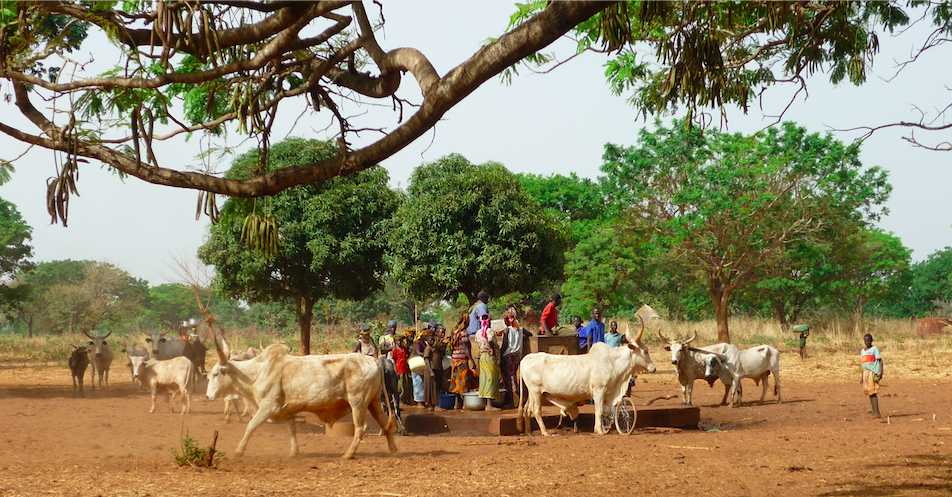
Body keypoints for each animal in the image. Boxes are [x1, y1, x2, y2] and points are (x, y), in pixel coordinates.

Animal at [516, 314, 660, 434]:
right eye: (645, 351)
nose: (653, 368)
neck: (613, 362)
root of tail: (524, 359)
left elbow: (602, 412)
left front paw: (601, 429)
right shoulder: (599, 391)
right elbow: (600, 412)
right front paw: (600, 431)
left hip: (533, 393)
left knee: (527, 409)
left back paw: (528, 432)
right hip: (535, 391)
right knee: (536, 410)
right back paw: (545, 433)